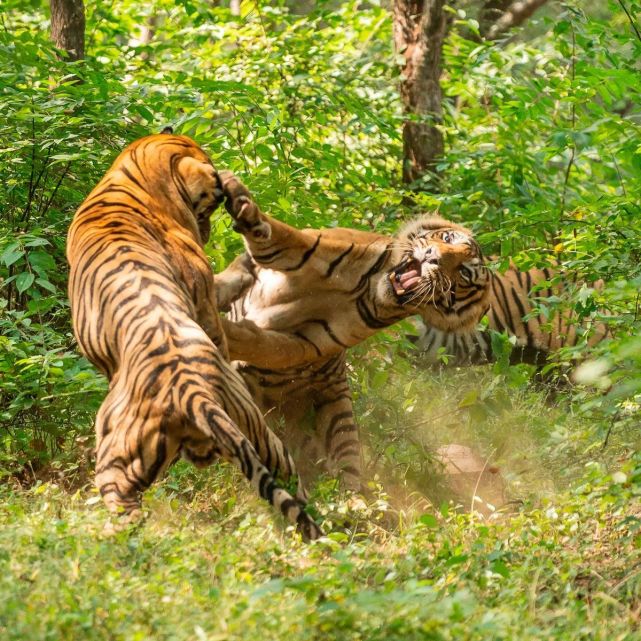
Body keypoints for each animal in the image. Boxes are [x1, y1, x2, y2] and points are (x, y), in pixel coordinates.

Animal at [65, 134, 320, 540]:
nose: (212, 229)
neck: (132, 174)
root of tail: (191, 392)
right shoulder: (203, 293)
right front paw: (247, 265)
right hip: (254, 431)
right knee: (293, 482)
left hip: (115, 458)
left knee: (126, 514)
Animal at [215, 172, 490, 488]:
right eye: (446, 238)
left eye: (464, 273)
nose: (433, 257)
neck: (371, 288)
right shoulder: (306, 246)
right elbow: (275, 237)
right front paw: (244, 206)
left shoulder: (302, 343)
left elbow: (259, 342)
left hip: (341, 424)